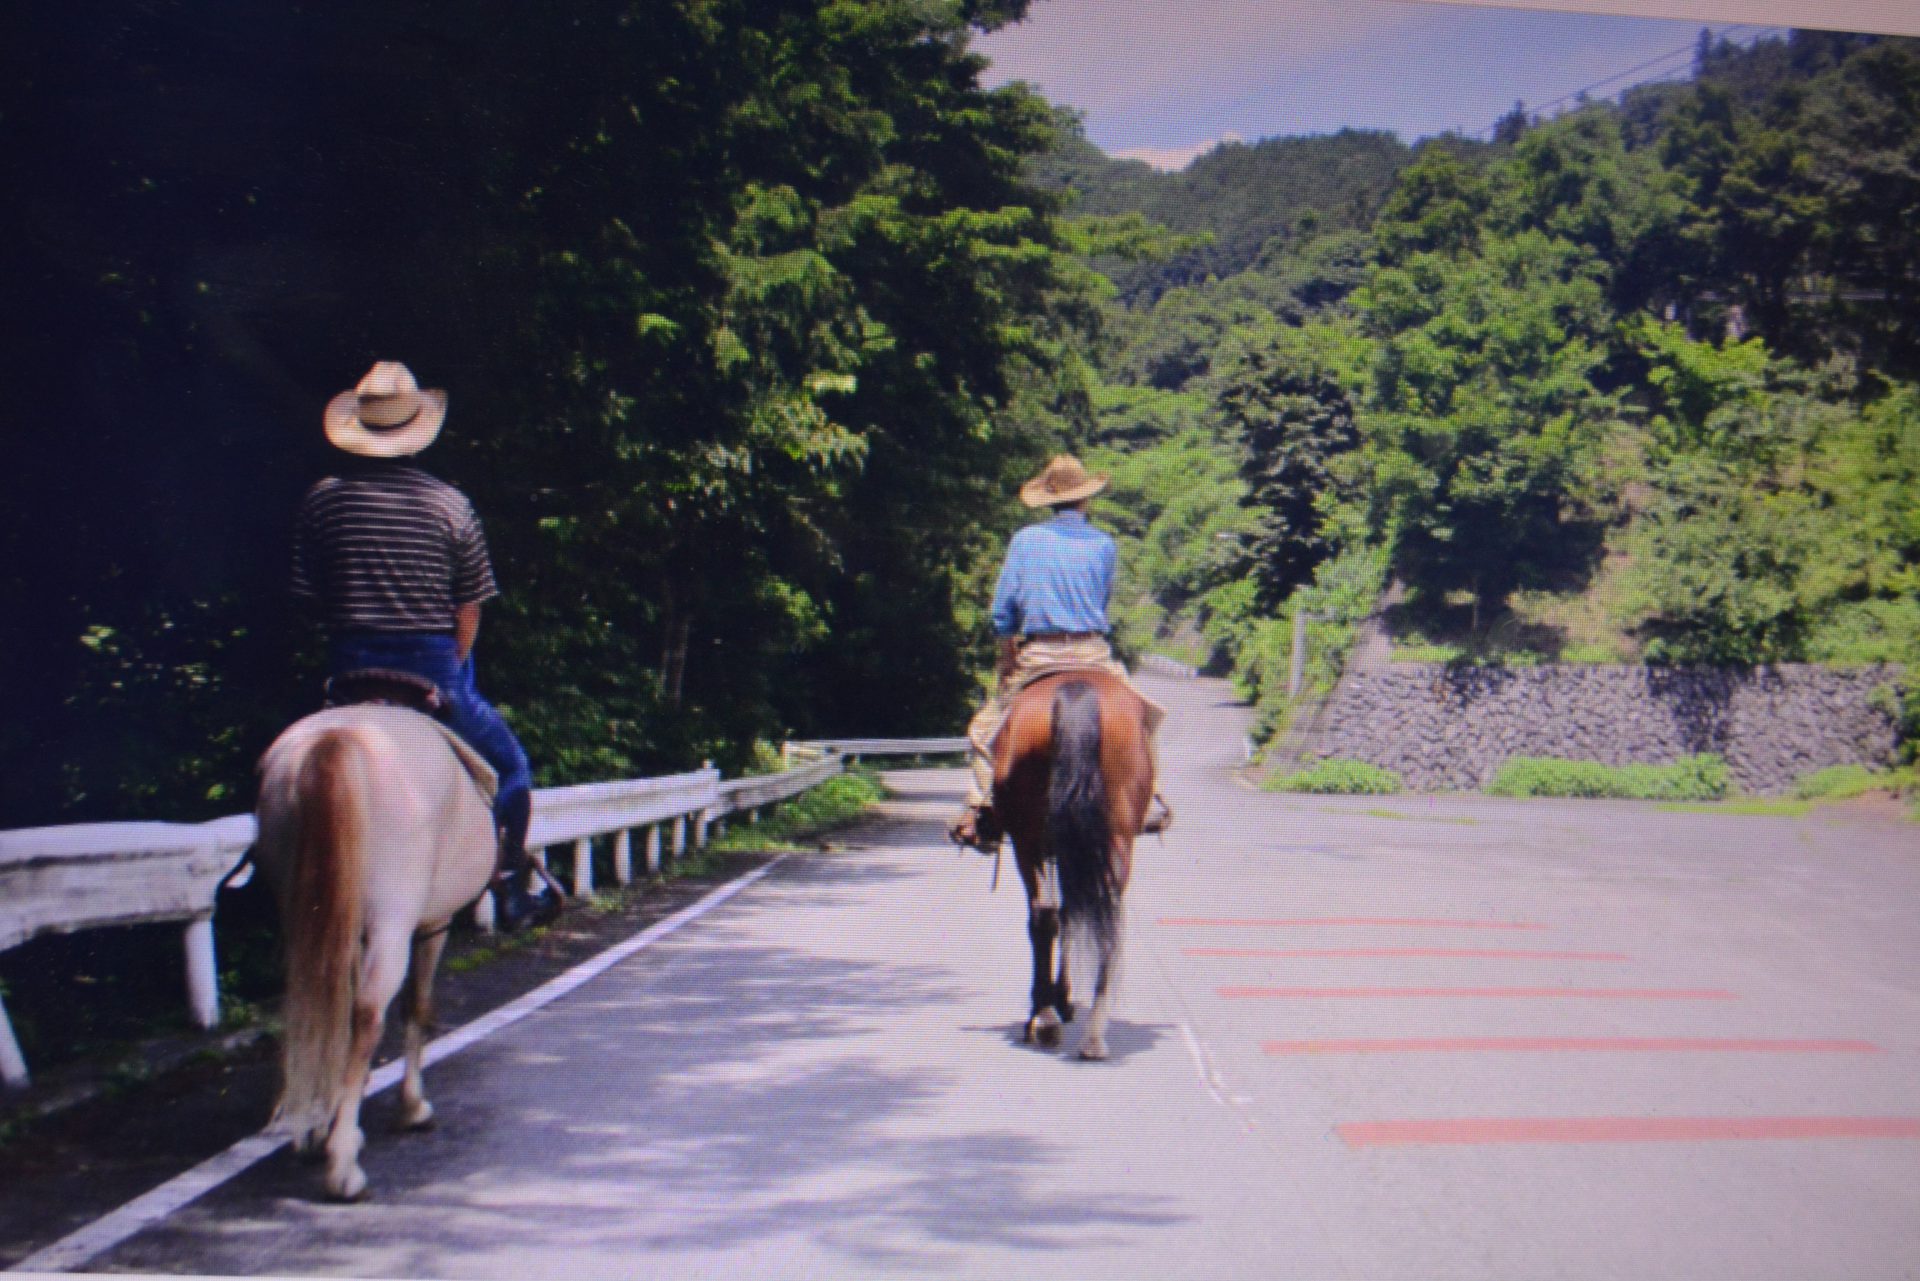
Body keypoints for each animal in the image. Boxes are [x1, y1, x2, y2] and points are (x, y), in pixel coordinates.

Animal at [255, 706, 495, 1198]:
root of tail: (337, 739)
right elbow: (416, 1006)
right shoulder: (432, 922)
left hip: (304, 907)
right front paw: (412, 1107)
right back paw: (343, 1166)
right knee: (367, 1015)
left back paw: (318, 1132)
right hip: (393, 919)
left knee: (318, 1004)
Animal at [998, 668, 1144, 1060]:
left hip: (1029, 840)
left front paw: (1052, 1001)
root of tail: (1075, 688)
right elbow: (1072, 913)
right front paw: (1060, 998)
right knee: (1103, 916)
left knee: (1044, 913)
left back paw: (1046, 1020)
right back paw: (1092, 1035)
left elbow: (1059, 914)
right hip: (1113, 837)